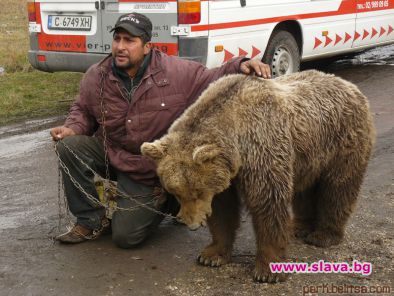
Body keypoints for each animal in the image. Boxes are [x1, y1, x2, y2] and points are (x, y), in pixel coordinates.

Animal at [142, 69, 376, 282]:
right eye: (175, 192)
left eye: (197, 192)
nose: (190, 223)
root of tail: (349, 86)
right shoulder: (227, 174)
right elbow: (222, 210)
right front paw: (211, 255)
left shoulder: (261, 148)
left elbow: (267, 204)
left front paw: (268, 271)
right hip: (307, 154)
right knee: (305, 189)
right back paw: (298, 227)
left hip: (342, 141)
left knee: (338, 187)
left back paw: (323, 235)